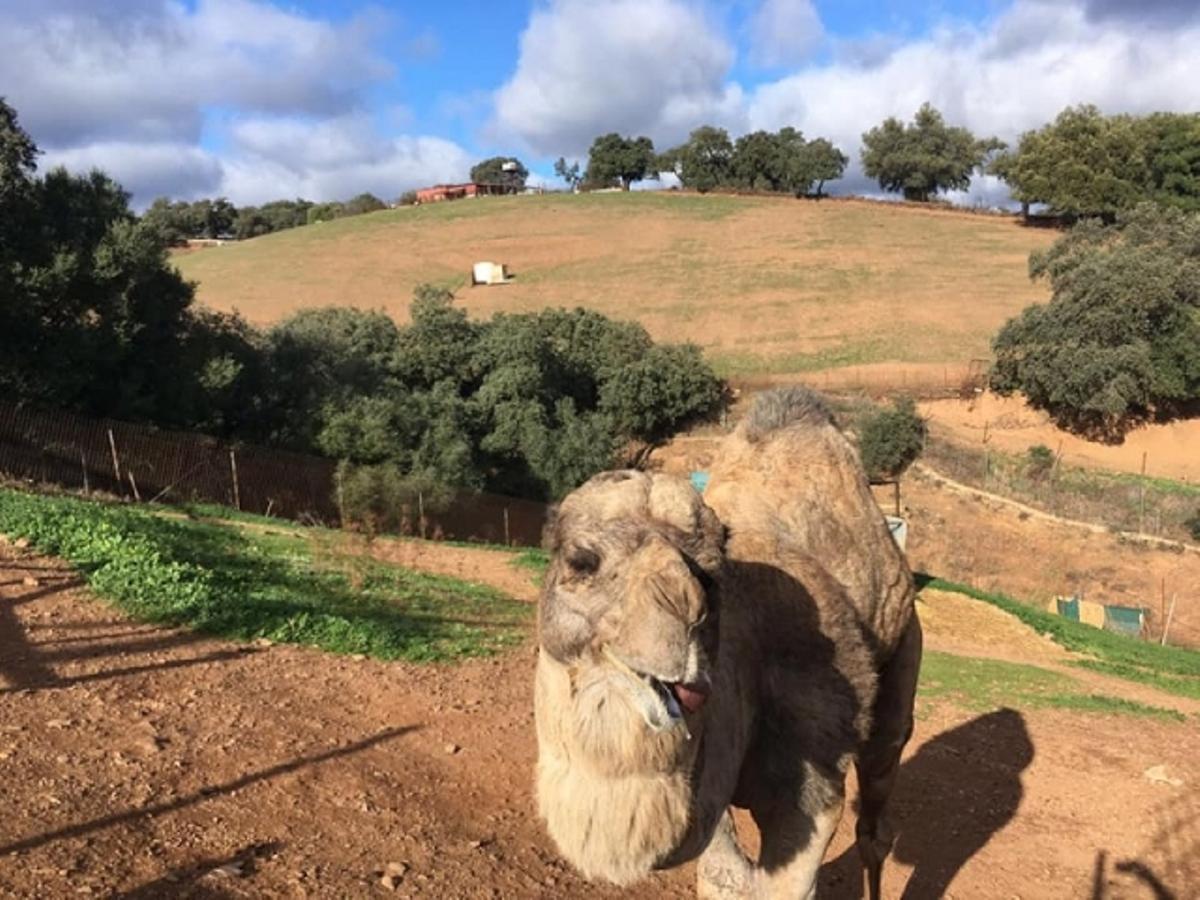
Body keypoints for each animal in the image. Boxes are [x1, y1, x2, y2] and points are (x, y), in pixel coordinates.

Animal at [532, 388, 916, 900]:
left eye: (710, 576)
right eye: (580, 561)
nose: (684, 612)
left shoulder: (814, 764)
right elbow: (724, 877)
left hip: (903, 658)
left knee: (877, 805)